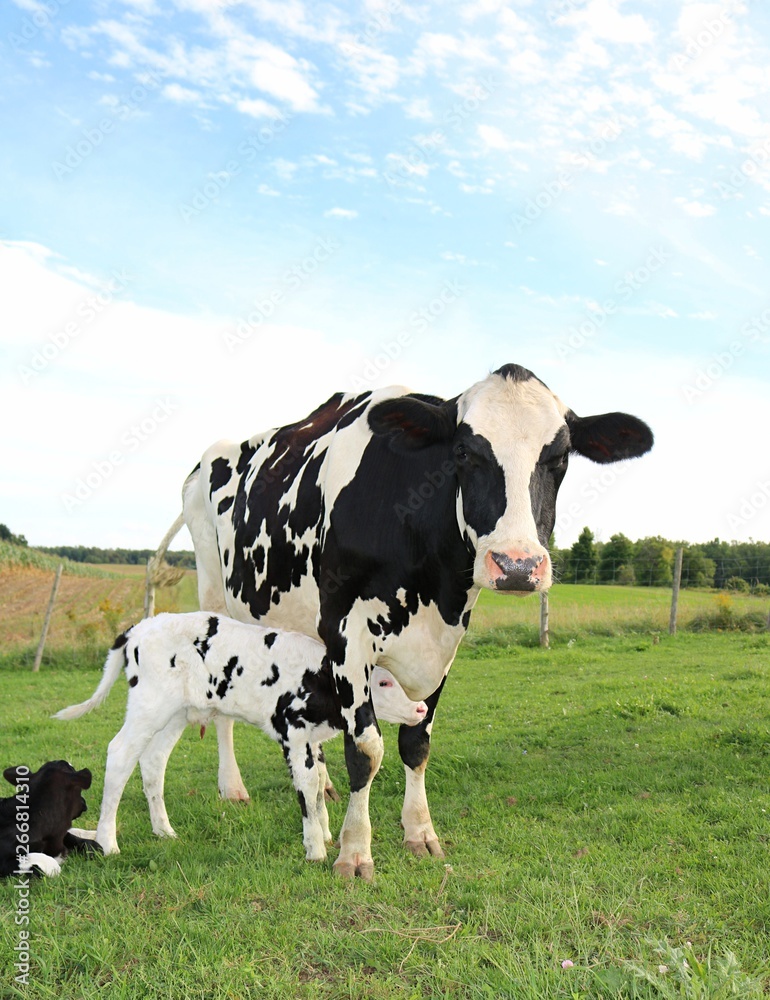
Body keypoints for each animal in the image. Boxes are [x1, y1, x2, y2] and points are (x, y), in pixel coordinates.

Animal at [54, 608, 426, 860]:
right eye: (383, 682)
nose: (421, 708)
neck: (320, 676)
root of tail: (139, 628)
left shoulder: (312, 740)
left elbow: (320, 783)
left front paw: (325, 835)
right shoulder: (292, 735)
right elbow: (307, 787)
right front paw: (315, 850)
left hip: (175, 713)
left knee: (153, 760)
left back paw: (164, 831)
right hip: (148, 704)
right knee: (120, 754)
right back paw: (108, 842)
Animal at [160, 364, 648, 880]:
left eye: (559, 458)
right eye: (463, 452)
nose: (517, 565)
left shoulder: (443, 642)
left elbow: (416, 743)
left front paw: (419, 832)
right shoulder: (346, 636)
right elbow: (366, 750)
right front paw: (354, 851)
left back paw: (320, 783)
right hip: (215, 595)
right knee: (221, 708)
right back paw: (233, 787)